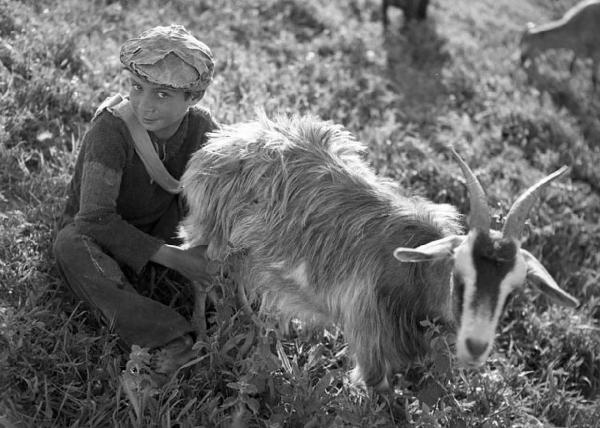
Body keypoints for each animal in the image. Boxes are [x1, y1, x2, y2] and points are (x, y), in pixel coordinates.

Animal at [179, 113, 580, 388]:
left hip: (247, 249)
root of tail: (219, 143)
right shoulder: (370, 334)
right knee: (200, 273)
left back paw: (256, 324)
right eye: (460, 275)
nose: (476, 345)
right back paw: (203, 337)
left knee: (242, 277)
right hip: (210, 229)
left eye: (513, 290)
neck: (414, 267)